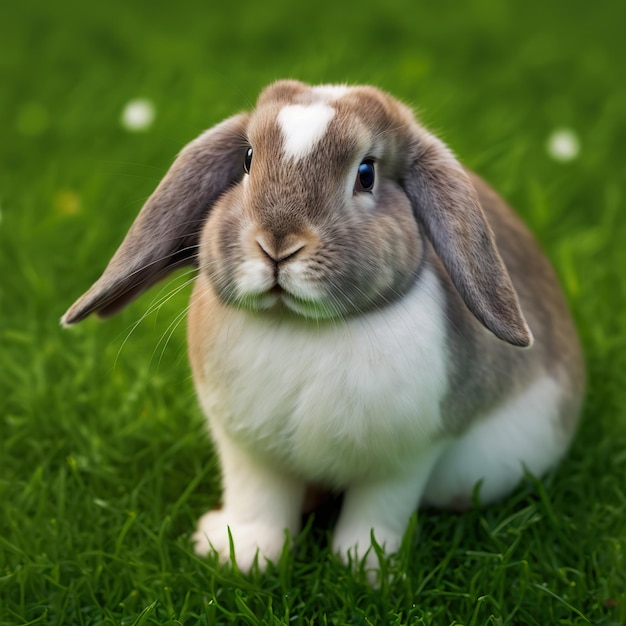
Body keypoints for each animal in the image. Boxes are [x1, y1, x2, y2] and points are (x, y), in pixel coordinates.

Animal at [61, 80, 584, 572]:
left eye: (366, 174)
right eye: (247, 159)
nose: (277, 244)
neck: (299, 327)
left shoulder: (404, 461)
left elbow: (379, 512)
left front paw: (367, 567)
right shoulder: (249, 455)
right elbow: (259, 503)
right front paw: (239, 555)